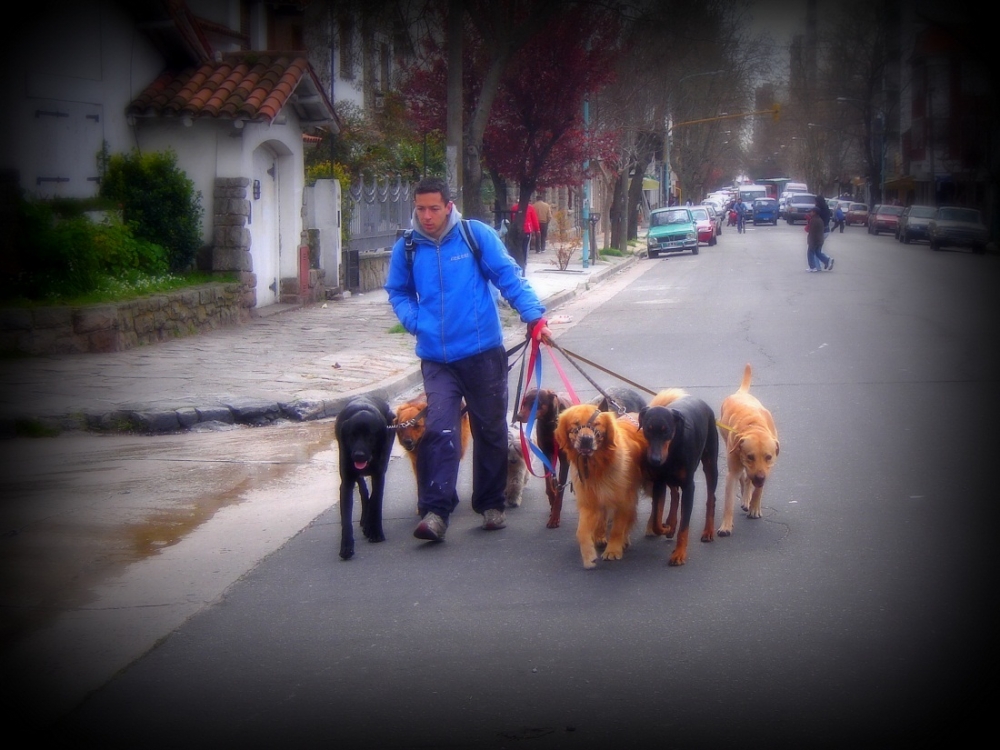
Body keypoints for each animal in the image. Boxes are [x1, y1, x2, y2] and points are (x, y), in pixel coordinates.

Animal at [338, 396, 396, 560]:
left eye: (370, 436)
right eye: (352, 435)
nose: (359, 455)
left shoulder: (379, 475)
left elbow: (376, 501)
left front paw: (376, 532)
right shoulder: (346, 482)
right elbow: (346, 519)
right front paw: (346, 547)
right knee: (363, 490)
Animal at [556, 406, 648, 568]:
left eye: (596, 424)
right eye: (575, 424)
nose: (586, 440)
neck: (598, 467)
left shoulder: (624, 500)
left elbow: (618, 528)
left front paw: (613, 550)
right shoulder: (589, 500)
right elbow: (581, 532)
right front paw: (589, 556)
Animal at [640, 390, 720, 568]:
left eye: (666, 431)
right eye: (648, 430)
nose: (654, 460)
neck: (673, 448)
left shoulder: (689, 486)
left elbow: (685, 526)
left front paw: (679, 554)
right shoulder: (659, 482)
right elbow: (656, 519)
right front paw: (665, 527)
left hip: (711, 463)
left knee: (711, 497)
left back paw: (708, 531)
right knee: (675, 493)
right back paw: (671, 524)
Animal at [720, 364, 780, 536]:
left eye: (768, 457)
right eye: (750, 456)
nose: (760, 477)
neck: (754, 426)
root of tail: (741, 393)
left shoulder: (767, 469)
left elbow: (758, 490)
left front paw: (754, 507)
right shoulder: (732, 473)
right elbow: (728, 502)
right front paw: (725, 526)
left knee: (748, 480)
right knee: (743, 478)